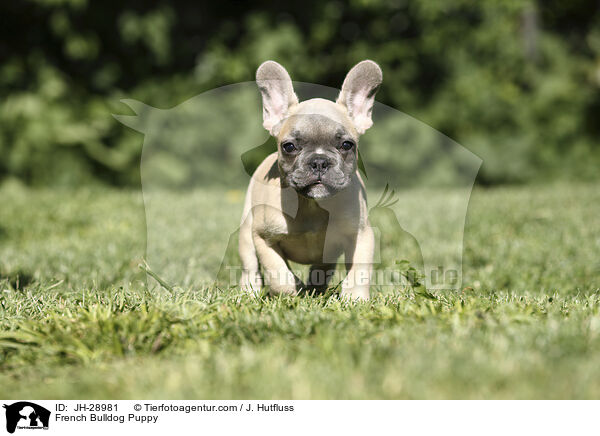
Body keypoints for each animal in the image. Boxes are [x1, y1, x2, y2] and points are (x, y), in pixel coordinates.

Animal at [238, 60, 382, 300]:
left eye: (347, 145)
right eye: (289, 147)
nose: (319, 161)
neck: (312, 205)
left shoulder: (360, 235)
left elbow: (359, 272)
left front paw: (355, 299)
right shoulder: (263, 237)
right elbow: (277, 273)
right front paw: (292, 290)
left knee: (322, 268)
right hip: (247, 233)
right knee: (251, 268)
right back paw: (249, 293)